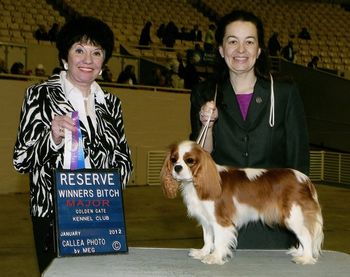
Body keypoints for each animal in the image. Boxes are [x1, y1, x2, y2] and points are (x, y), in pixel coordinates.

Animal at [160, 141, 324, 264]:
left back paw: (306, 258)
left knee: (307, 236)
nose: (177, 168)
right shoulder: (207, 220)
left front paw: (215, 257)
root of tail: (304, 179)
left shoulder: (220, 220)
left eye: (190, 161)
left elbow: (218, 240)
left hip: (293, 215)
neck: (197, 183)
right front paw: (203, 252)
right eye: (173, 159)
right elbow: (208, 238)